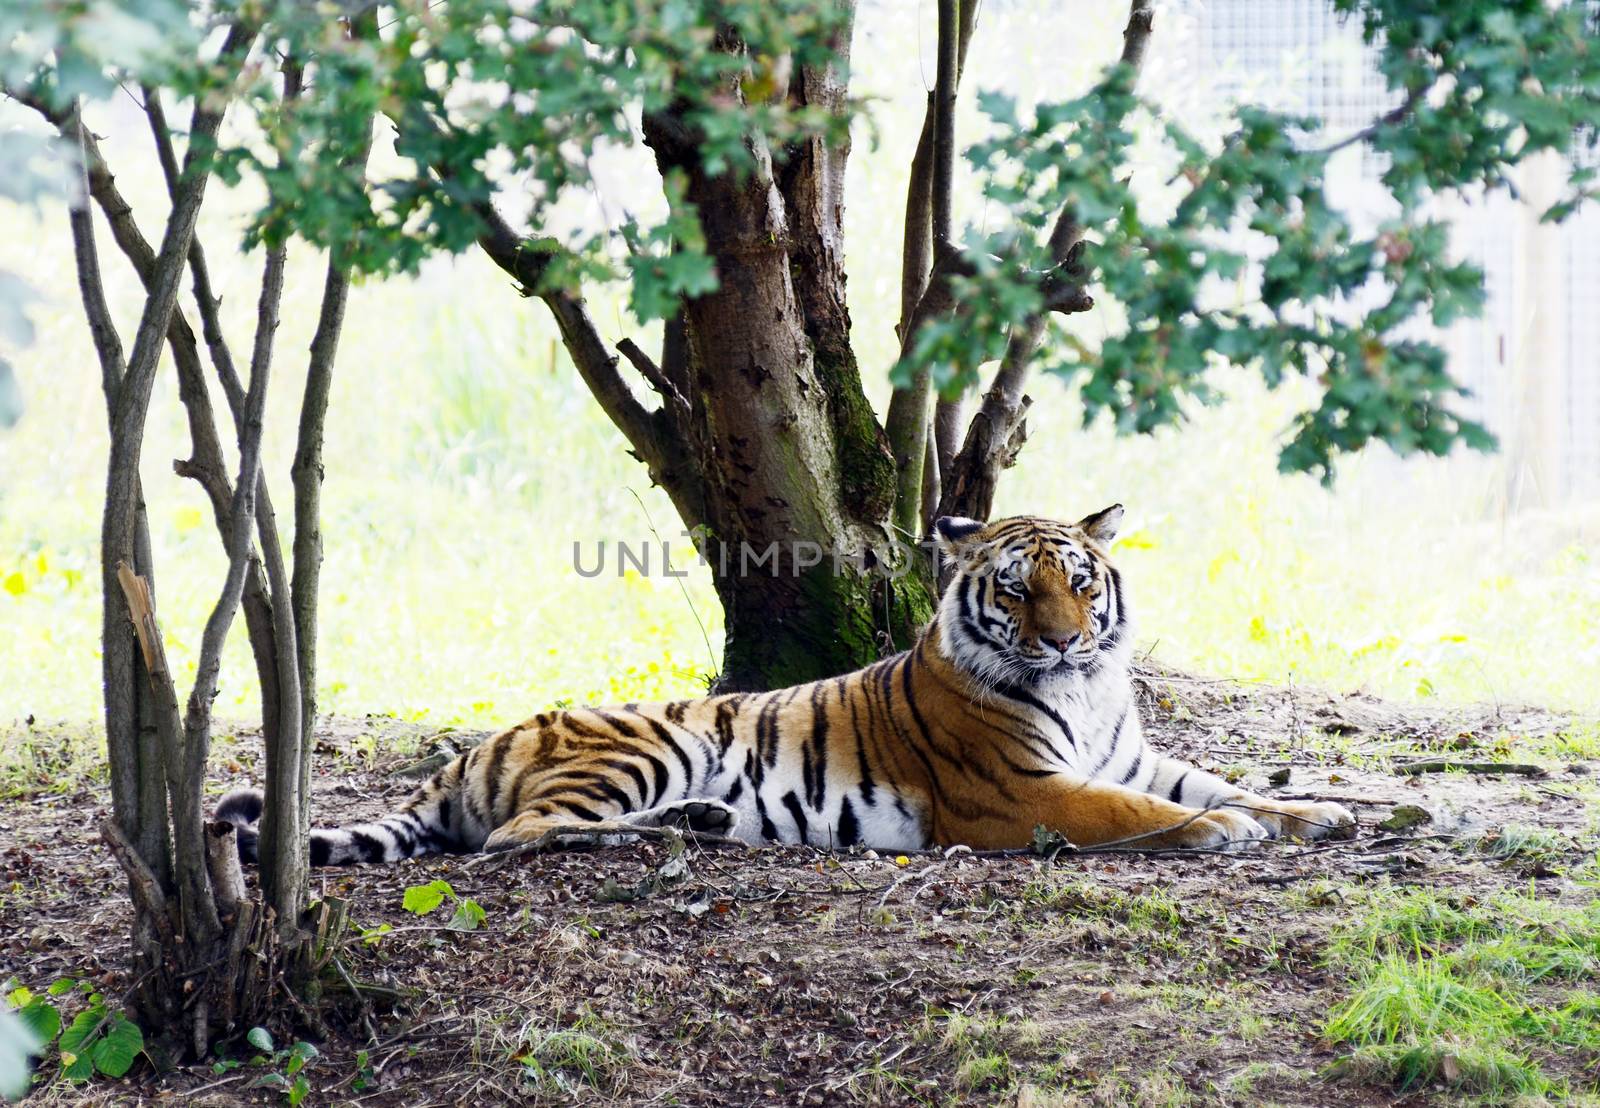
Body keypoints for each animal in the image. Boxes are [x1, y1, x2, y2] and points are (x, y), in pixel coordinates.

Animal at [216, 502, 1350, 864]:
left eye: (1079, 582)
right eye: (1016, 591)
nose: (1068, 644)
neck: (1088, 695)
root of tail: (467, 754)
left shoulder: (1134, 753)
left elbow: (1221, 782)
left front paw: (1334, 810)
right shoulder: (1019, 791)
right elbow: (1136, 812)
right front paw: (1222, 833)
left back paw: (710, 825)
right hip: (649, 744)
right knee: (519, 836)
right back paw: (673, 832)